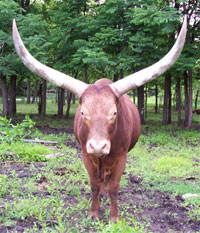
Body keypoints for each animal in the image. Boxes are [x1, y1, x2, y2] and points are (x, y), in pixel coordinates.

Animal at [12, 16, 188, 222]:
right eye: (82, 113)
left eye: (114, 113)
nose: (98, 146)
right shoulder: (86, 154)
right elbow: (95, 184)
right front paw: (94, 213)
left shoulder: (121, 156)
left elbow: (114, 187)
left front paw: (114, 217)